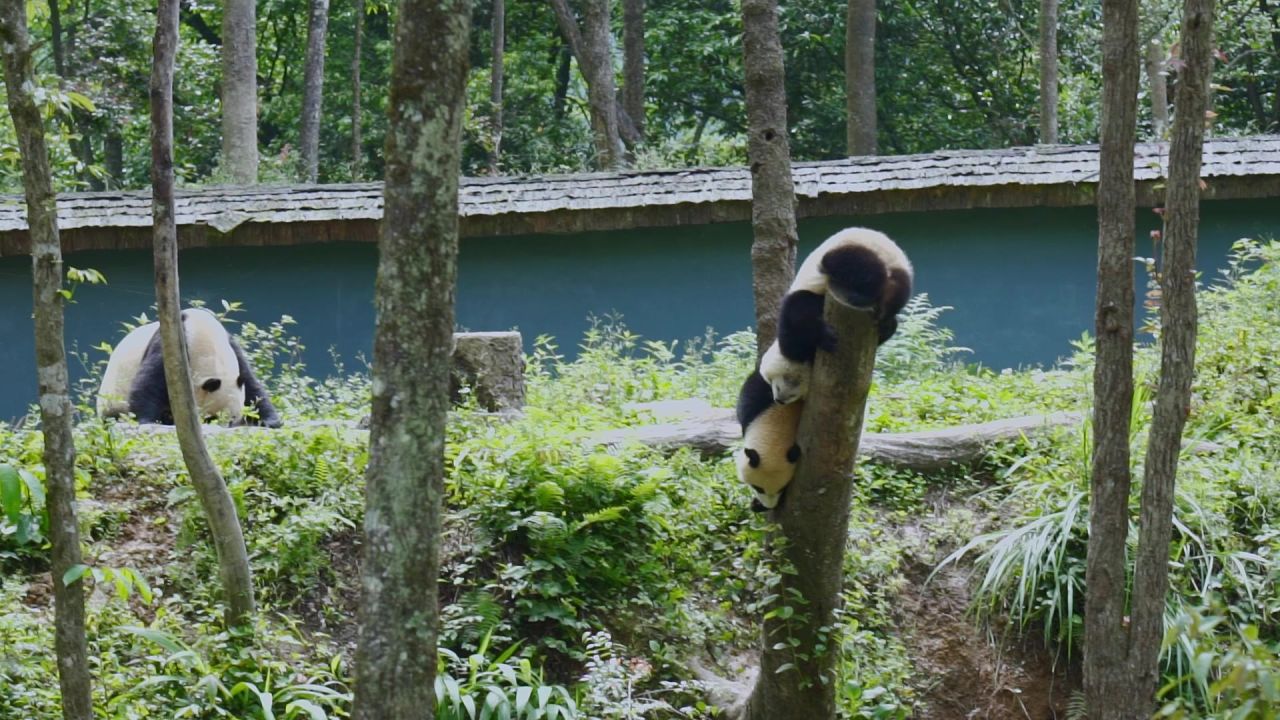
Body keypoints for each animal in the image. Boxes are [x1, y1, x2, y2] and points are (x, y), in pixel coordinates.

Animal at [96, 307, 282, 425]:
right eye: (212, 418)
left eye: (232, 420)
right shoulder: (170, 345)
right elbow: (148, 381)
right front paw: (148, 420)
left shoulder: (231, 345)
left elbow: (251, 384)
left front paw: (270, 421)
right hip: (111, 399)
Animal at [752, 224, 916, 404]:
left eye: (783, 379)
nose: (779, 399)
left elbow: (799, 316)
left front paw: (826, 338)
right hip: (897, 277)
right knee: (898, 293)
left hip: (851, 250)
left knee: (848, 265)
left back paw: (861, 294)